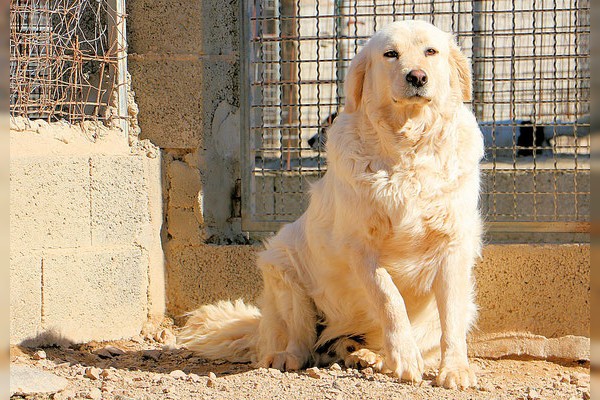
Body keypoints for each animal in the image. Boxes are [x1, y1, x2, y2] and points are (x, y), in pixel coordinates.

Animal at [178, 20, 482, 390]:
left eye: (431, 51)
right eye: (391, 54)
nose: (417, 77)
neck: (407, 148)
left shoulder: (453, 246)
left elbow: (450, 317)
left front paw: (455, 369)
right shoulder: (360, 248)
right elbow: (389, 298)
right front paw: (405, 358)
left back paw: (368, 355)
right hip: (284, 265)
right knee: (300, 340)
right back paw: (288, 357)